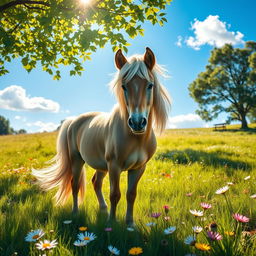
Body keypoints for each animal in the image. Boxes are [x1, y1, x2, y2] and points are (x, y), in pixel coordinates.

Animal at [33, 48, 171, 226]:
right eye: (123, 86)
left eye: (150, 85)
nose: (137, 122)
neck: (135, 138)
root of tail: (73, 121)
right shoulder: (114, 166)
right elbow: (115, 194)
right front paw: (112, 223)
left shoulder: (138, 168)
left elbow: (131, 194)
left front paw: (130, 224)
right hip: (77, 160)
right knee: (75, 185)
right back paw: (76, 212)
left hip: (100, 165)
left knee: (96, 183)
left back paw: (103, 209)